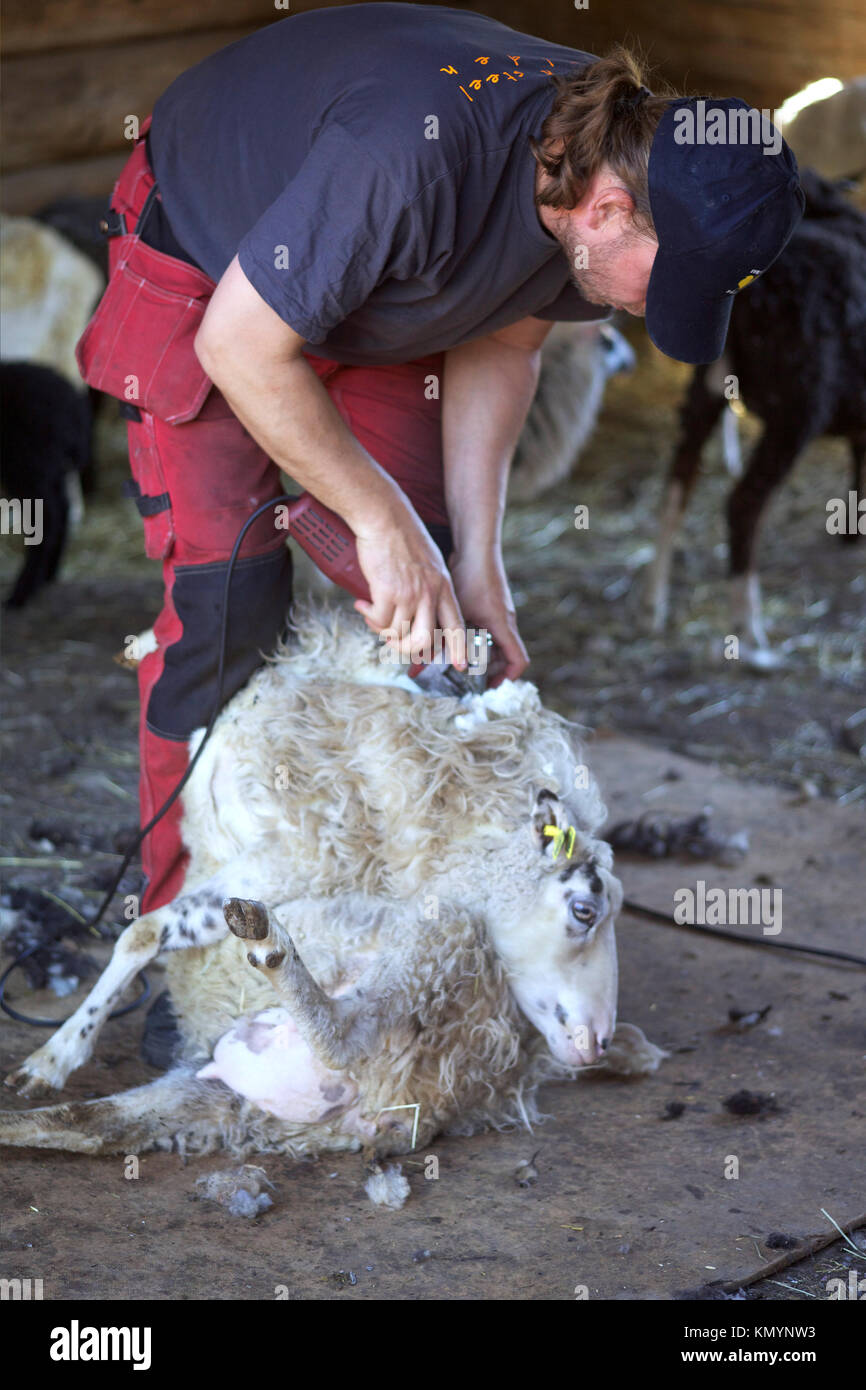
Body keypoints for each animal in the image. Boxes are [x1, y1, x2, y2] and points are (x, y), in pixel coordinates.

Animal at [0, 608, 664, 1162]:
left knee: (343, 1034)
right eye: (584, 911)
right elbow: (144, 932)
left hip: (418, 951)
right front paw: (55, 1053)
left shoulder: (296, 856)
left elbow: (148, 930)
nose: (598, 1041)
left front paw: (56, 1053)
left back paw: (271, 947)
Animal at [644, 170, 866, 669]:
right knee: (743, 505)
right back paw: (752, 633)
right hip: (799, 407)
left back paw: (657, 604)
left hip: (705, 391)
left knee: (675, 487)